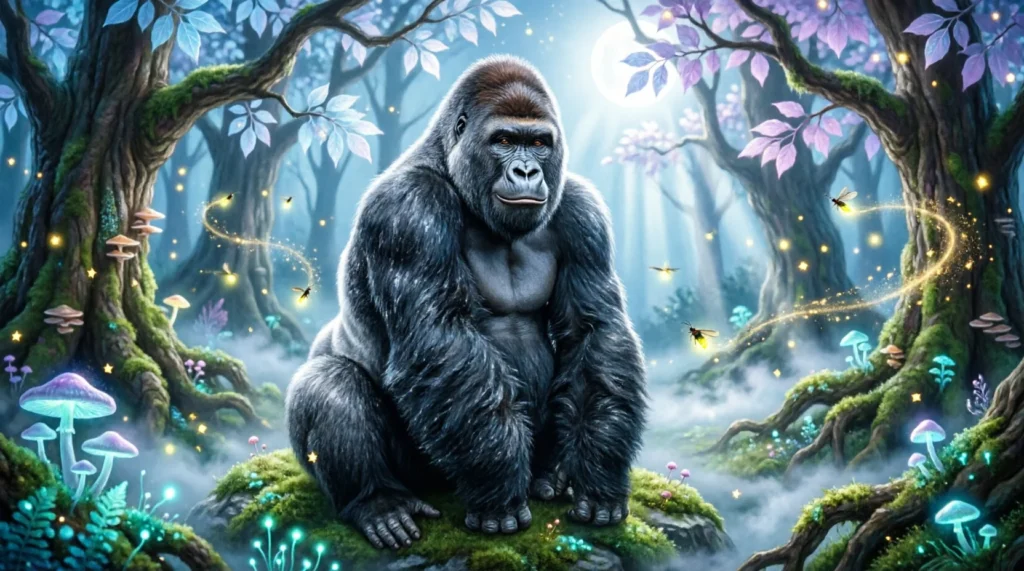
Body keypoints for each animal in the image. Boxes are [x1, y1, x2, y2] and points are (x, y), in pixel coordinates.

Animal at [286, 55, 647, 551]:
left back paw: (553, 475)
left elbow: (594, 332)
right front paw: (498, 490)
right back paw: (377, 502)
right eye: (504, 141)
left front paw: (600, 476)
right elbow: (441, 337)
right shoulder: (408, 209)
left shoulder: (582, 211)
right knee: (329, 380)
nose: (527, 173)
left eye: (538, 143)